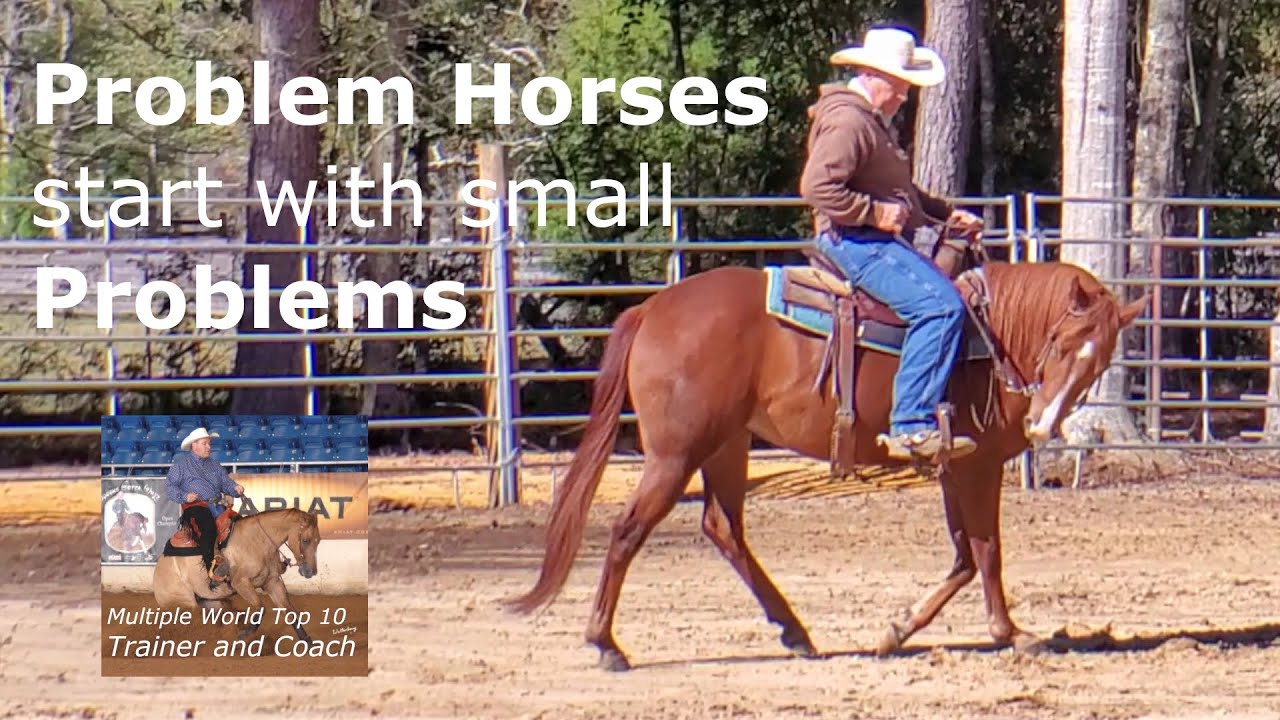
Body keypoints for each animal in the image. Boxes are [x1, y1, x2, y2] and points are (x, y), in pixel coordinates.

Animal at [153, 502, 322, 642]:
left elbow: (291, 612)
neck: (257, 541)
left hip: (209, 600)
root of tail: (158, 571)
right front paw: (242, 634)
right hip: (184, 603)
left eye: (318, 540)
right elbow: (260, 608)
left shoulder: (272, 582)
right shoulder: (241, 584)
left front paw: (309, 644)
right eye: (305, 540)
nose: (311, 572)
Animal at [506, 253, 1148, 671]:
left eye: (1098, 363)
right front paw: (1011, 634)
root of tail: (654, 308)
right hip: (676, 454)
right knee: (628, 529)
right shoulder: (978, 467)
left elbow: (965, 556)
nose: (1042, 424)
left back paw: (794, 630)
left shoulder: (953, 465)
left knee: (723, 528)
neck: (990, 341)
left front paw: (897, 630)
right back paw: (606, 644)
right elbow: (987, 552)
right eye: (1061, 344)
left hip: (726, 446)